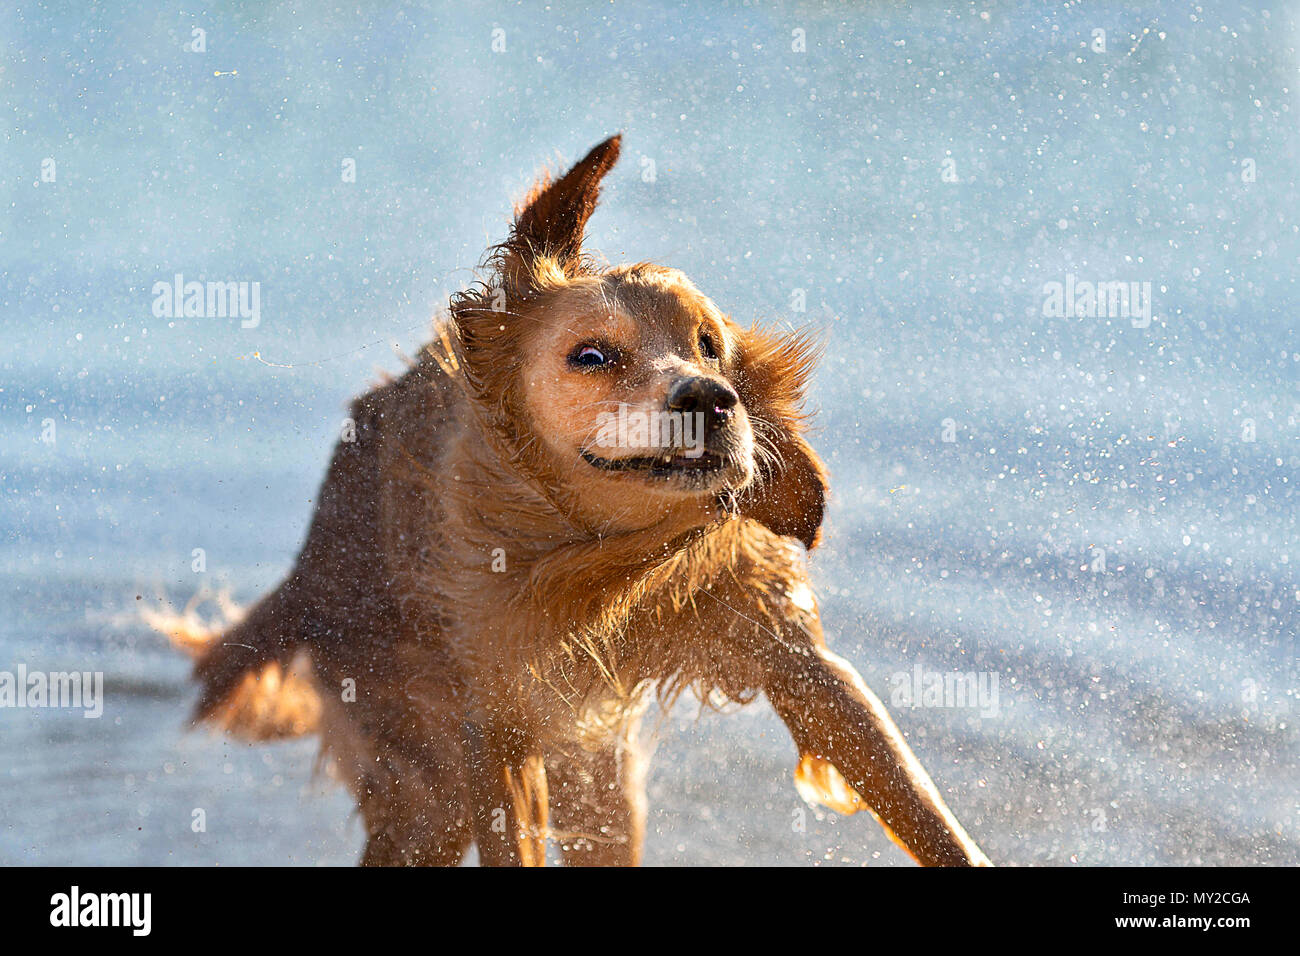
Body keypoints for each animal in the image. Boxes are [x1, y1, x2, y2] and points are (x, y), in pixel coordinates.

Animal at [162, 134, 987, 868]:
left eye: (710, 345)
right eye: (592, 355)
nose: (711, 400)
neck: (604, 558)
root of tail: (305, 567)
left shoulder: (791, 651)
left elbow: (921, 807)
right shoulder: (497, 726)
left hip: (598, 785)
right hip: (429, 787)